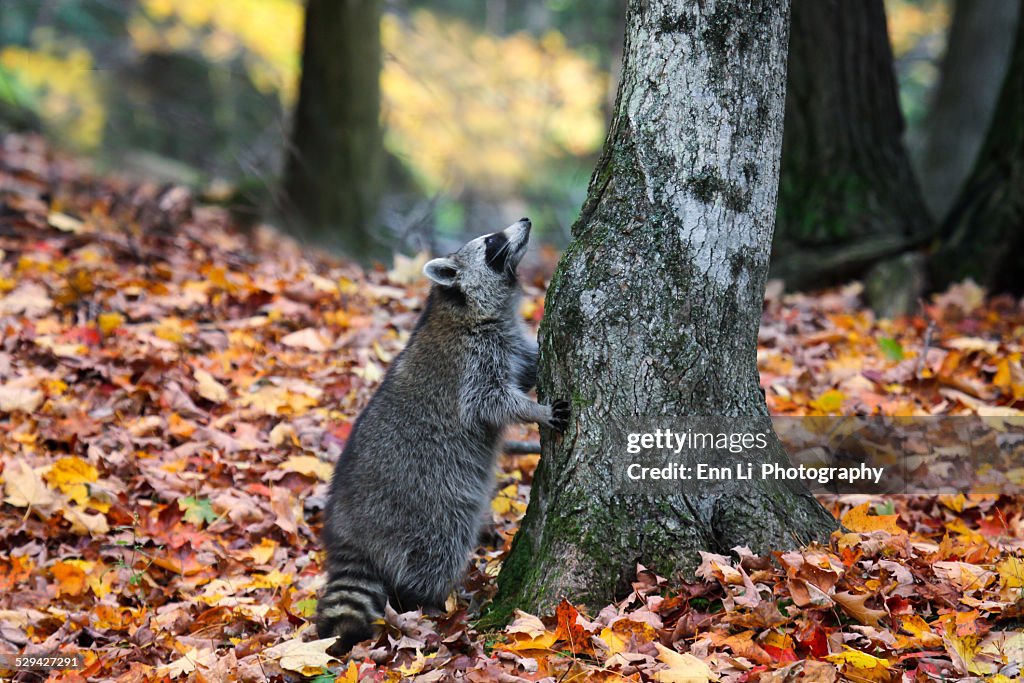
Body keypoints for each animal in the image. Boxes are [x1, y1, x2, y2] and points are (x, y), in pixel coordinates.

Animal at [317, 222, 573, 655]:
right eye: (491, 242)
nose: (524, 221)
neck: (459, 305)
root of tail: (348, 527)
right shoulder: (472, 359)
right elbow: (490, 402)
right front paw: (535, 410)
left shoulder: (504, 342)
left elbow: (525, 369)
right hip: (425, 504)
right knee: (439, 548)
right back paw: (435, 601)